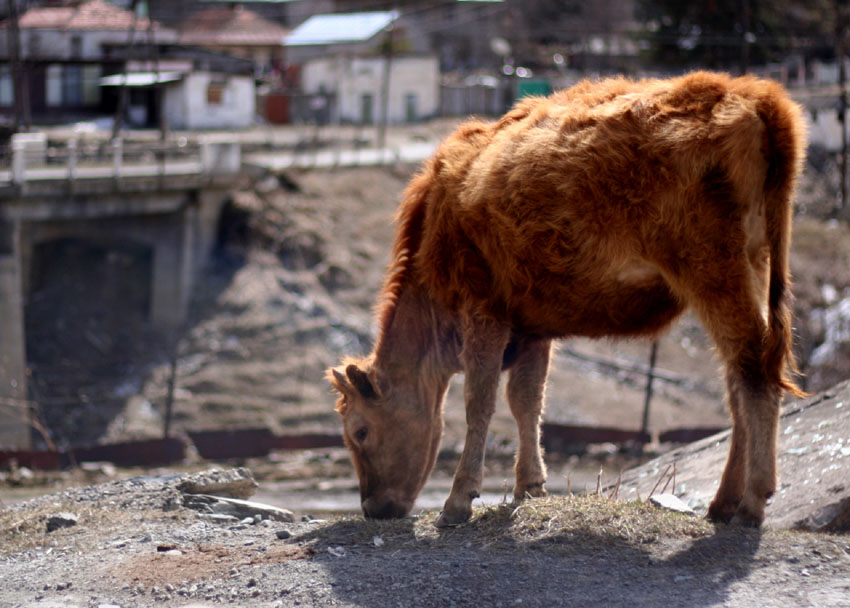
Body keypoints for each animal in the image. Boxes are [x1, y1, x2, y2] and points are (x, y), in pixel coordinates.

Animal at [328, 70, 804, 528]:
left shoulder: (484, 311)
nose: (372, 508)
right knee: (737, 379)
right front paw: (529, 486)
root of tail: (750, 94)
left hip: (715, 275)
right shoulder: (531, 327)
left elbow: (480, 401)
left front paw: (458, 501)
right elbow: (526, 401)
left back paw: (752, 503)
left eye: (360, 431)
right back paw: (723, 503)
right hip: (750, 268)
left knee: (753, 370)